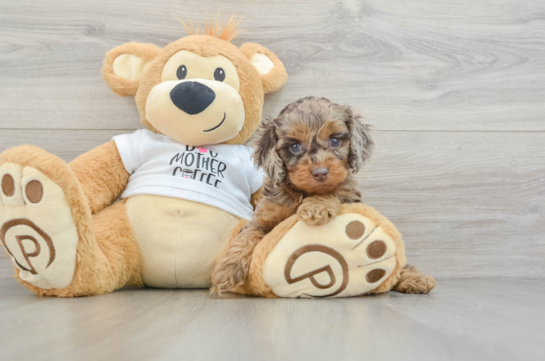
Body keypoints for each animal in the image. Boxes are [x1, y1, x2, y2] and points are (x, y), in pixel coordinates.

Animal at [210, 96, 436, 296]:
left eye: (335, 140)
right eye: (295, 146)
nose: (320, 173)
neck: (305, 192)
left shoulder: (349, 197)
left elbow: (331, 192)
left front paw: (315, 207)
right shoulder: (262, 218)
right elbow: (247, 236)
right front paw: (225, 271)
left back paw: (414, 279)